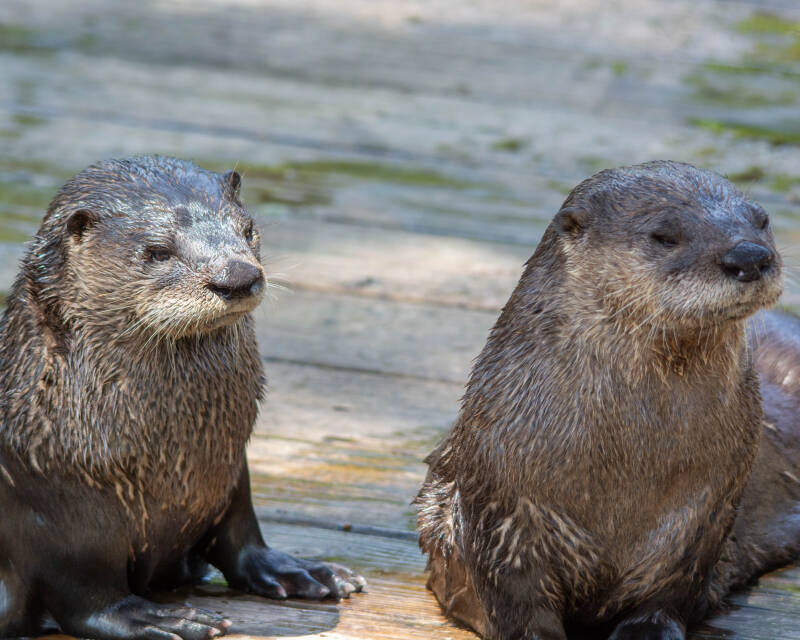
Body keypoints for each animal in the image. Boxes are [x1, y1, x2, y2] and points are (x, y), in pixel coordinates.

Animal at [0, 157, 365, 640]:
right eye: (158, 251)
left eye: (248, 229)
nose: (237, 276)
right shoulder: (55, 516)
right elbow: (89, 601)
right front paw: (154, 617)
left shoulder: (231, 467)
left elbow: (242, 536)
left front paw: (301, 571)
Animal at [416, 161, 800, 639]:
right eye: (664, 235)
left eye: (761, 219)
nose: (749, 256)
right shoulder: (499, 506)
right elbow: (513, 601)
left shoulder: (704, 515)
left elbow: (672, 592)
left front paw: (649, 628)